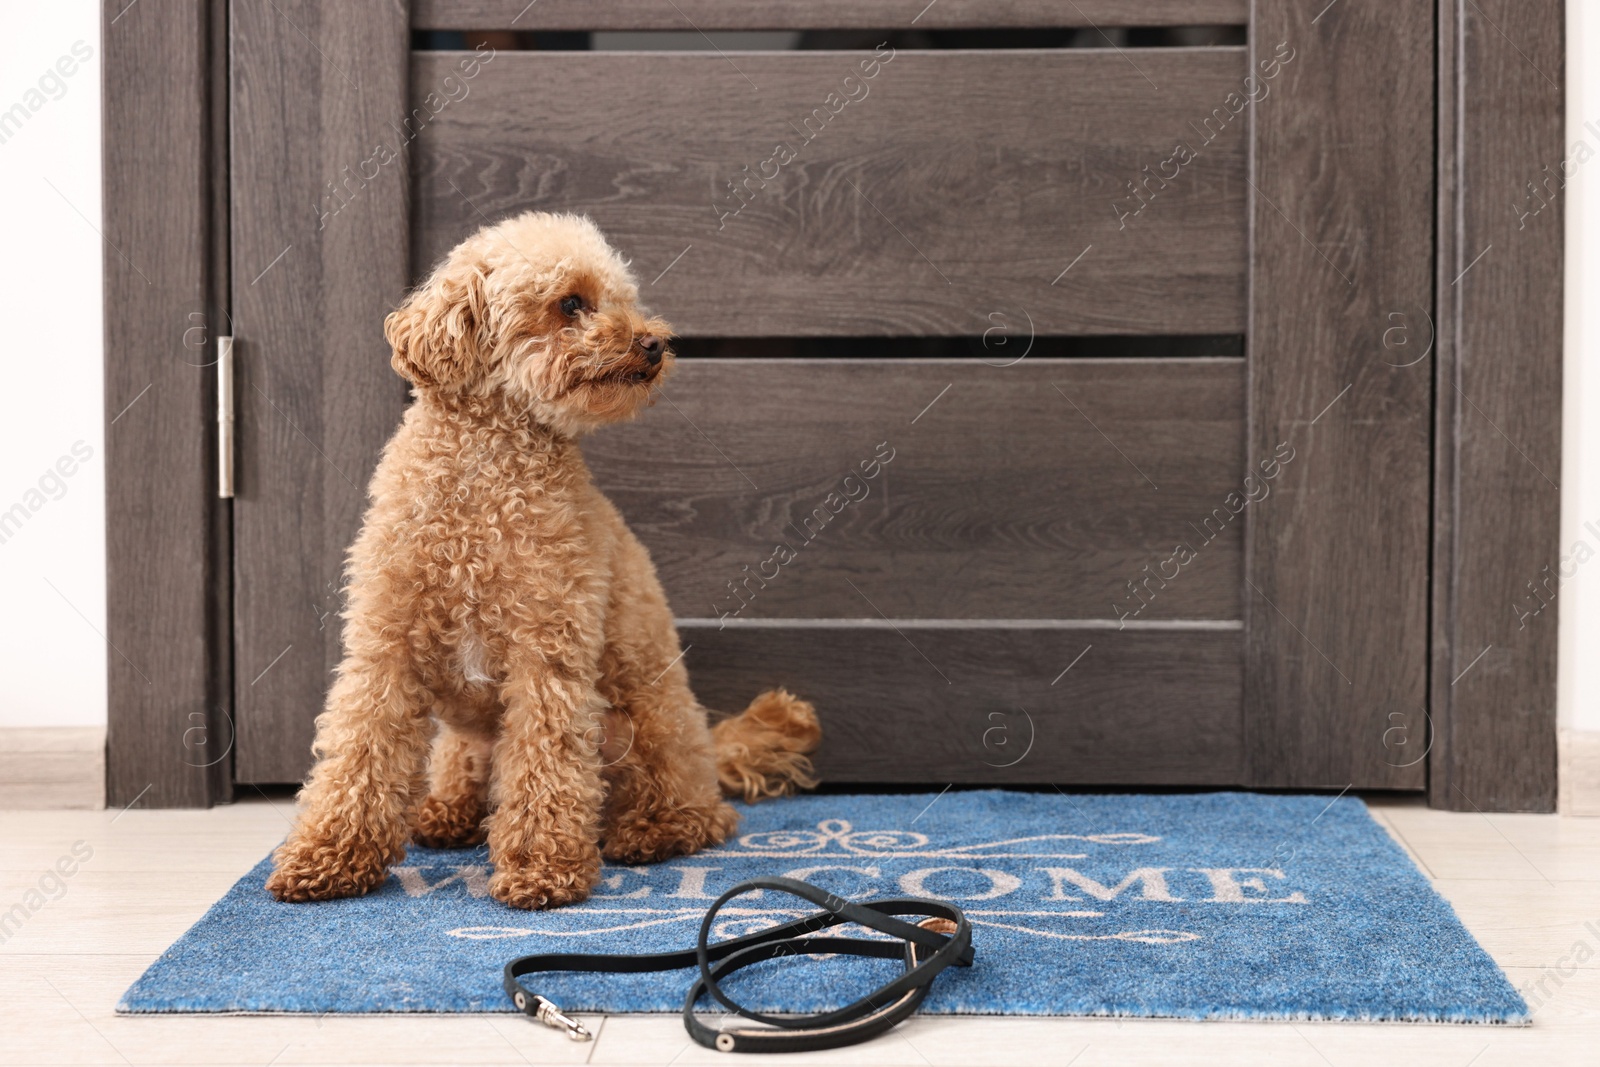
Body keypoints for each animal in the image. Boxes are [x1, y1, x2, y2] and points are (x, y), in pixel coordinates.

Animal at [264, 214, 819, 908]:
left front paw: (542, 869)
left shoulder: (547, 654)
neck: (487, 472)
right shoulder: (385, 648)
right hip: (470, 738)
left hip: (643, 725)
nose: (655, 343)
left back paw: (650, 833)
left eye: (622, 299)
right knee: (465, 777)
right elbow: (358, 752)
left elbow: (545, 766)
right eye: (571, 304)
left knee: (702, 814)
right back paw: (445, 814)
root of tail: (708, 754)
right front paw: (327, 856)